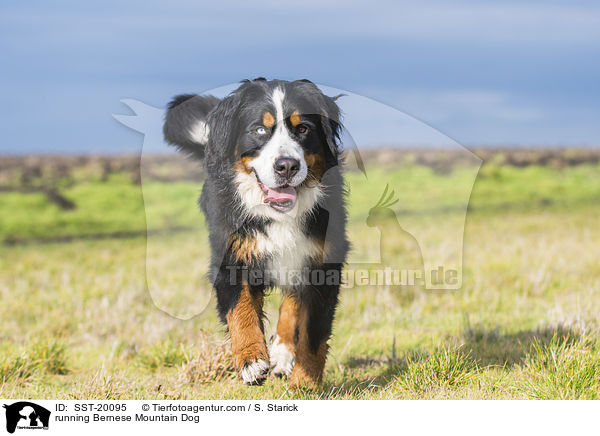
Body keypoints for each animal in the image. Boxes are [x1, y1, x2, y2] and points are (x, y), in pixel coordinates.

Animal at [163, 78, 346, 388]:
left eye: (303, 129)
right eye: (260, 129)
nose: (287, 166)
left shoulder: (322, 260)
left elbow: (313, 332)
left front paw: (305, 382)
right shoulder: (232, 255)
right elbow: (241, 310)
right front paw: (250, 360)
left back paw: (283, 353)